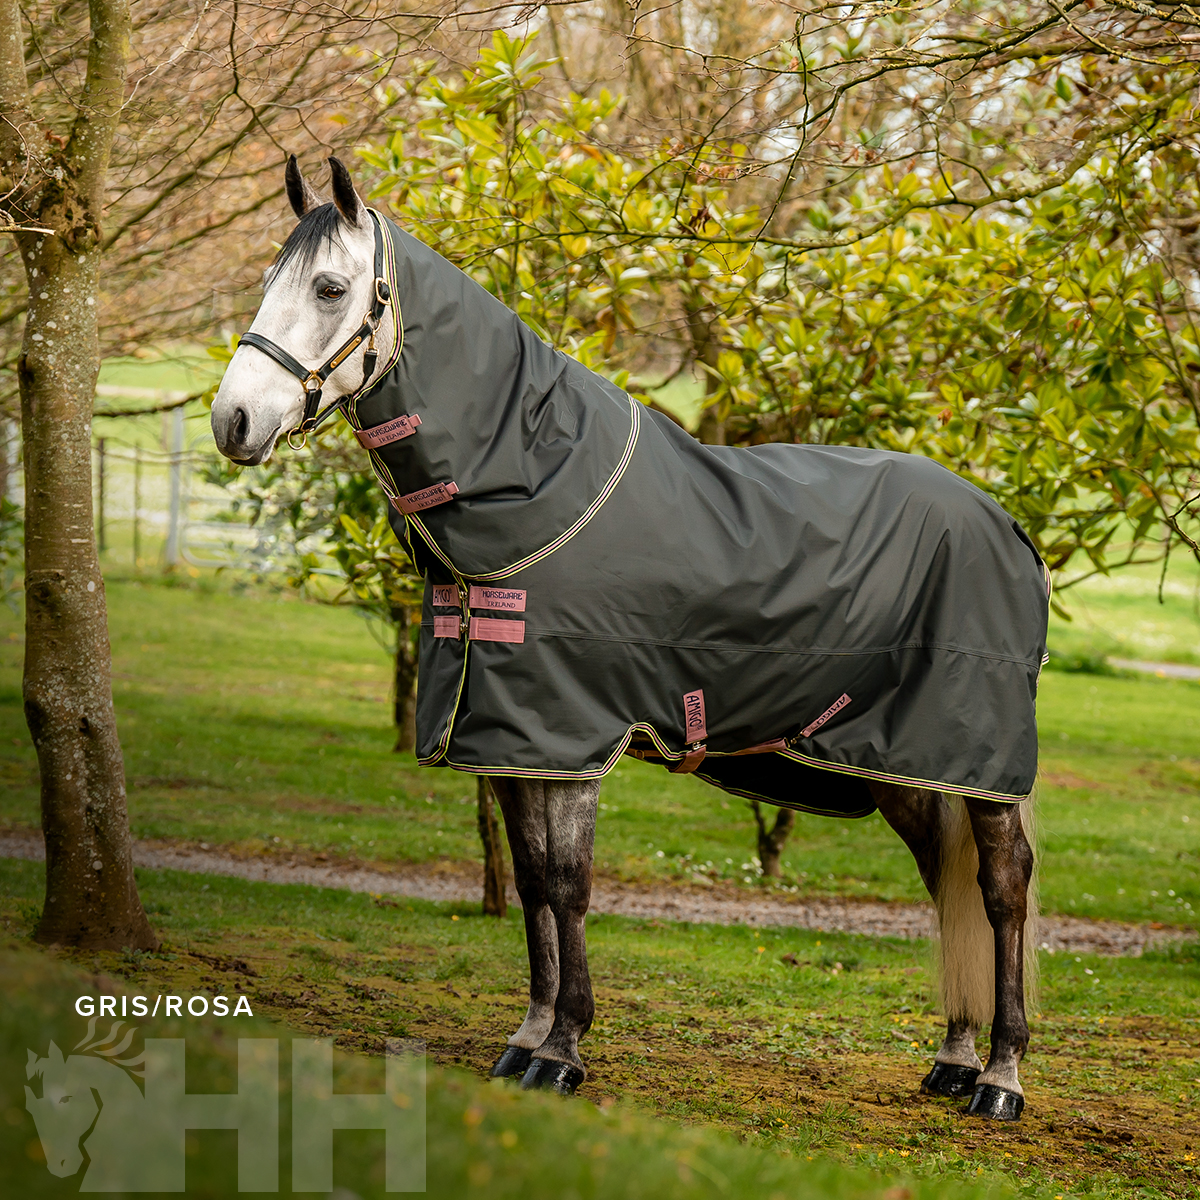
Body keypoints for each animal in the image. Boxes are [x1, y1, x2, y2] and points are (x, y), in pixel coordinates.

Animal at [210, 154, 1045, 1122]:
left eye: (330, 287)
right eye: (268, 281)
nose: (234, 421)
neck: (538, 481)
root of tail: (1008, 529)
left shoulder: (573, 740)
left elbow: (569, 887)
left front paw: (564, 1051)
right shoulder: (511, 741)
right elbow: (531, 882)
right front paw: (526, 1037)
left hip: (975, 765)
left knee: (1001, 889)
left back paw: (1001, 1077)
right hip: (900, 764)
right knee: (942, 879)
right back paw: (953, 1058)